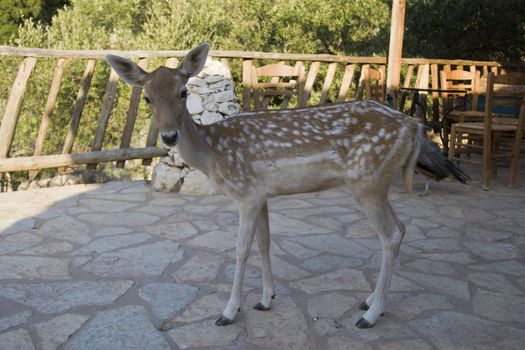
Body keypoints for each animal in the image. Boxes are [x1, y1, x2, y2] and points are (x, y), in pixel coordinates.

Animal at [106, 43, 466, 328]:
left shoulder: (246, 193)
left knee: (390, 235)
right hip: (378, 181)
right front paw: (266, 299)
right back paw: (368, 300)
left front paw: (228, 312)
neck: (214, 154)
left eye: (183, 93)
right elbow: (265, 243)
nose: (169, 136)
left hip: (367, 181)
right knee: (401, 228)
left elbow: (240, 249)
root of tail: (414, 126)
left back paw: (370, 315)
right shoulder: (262, 194)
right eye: (148, 98)